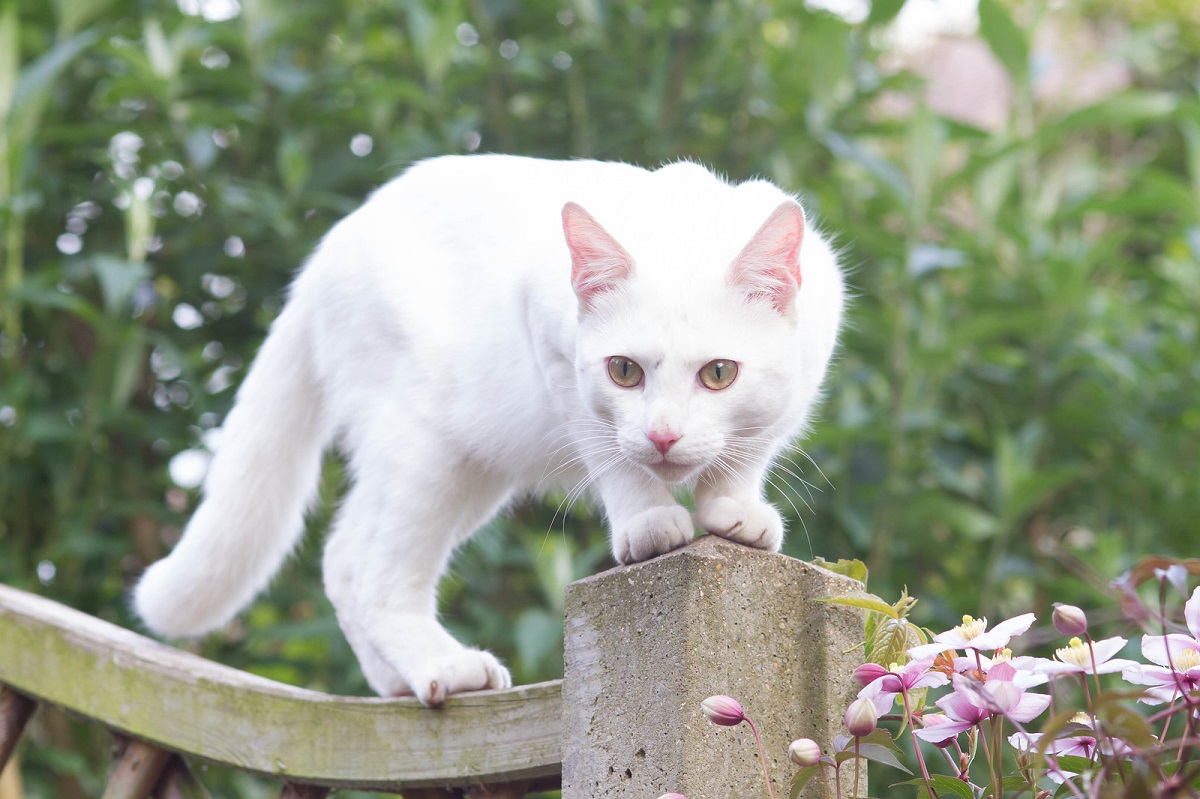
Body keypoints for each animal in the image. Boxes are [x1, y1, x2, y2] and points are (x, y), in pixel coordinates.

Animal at [133, 153, 844, 705]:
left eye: (719, 374)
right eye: (623, 371)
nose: (664, 436)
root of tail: (328, 253)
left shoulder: (804, 373)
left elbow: (749, 450)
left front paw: (733, 509)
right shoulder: (554, 352)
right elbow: (613, 460)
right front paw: (647, 520)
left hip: (471, 463)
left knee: (342, 558)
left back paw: (393, 679)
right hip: (422, 447)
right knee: (376, 576)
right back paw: (441, 667)